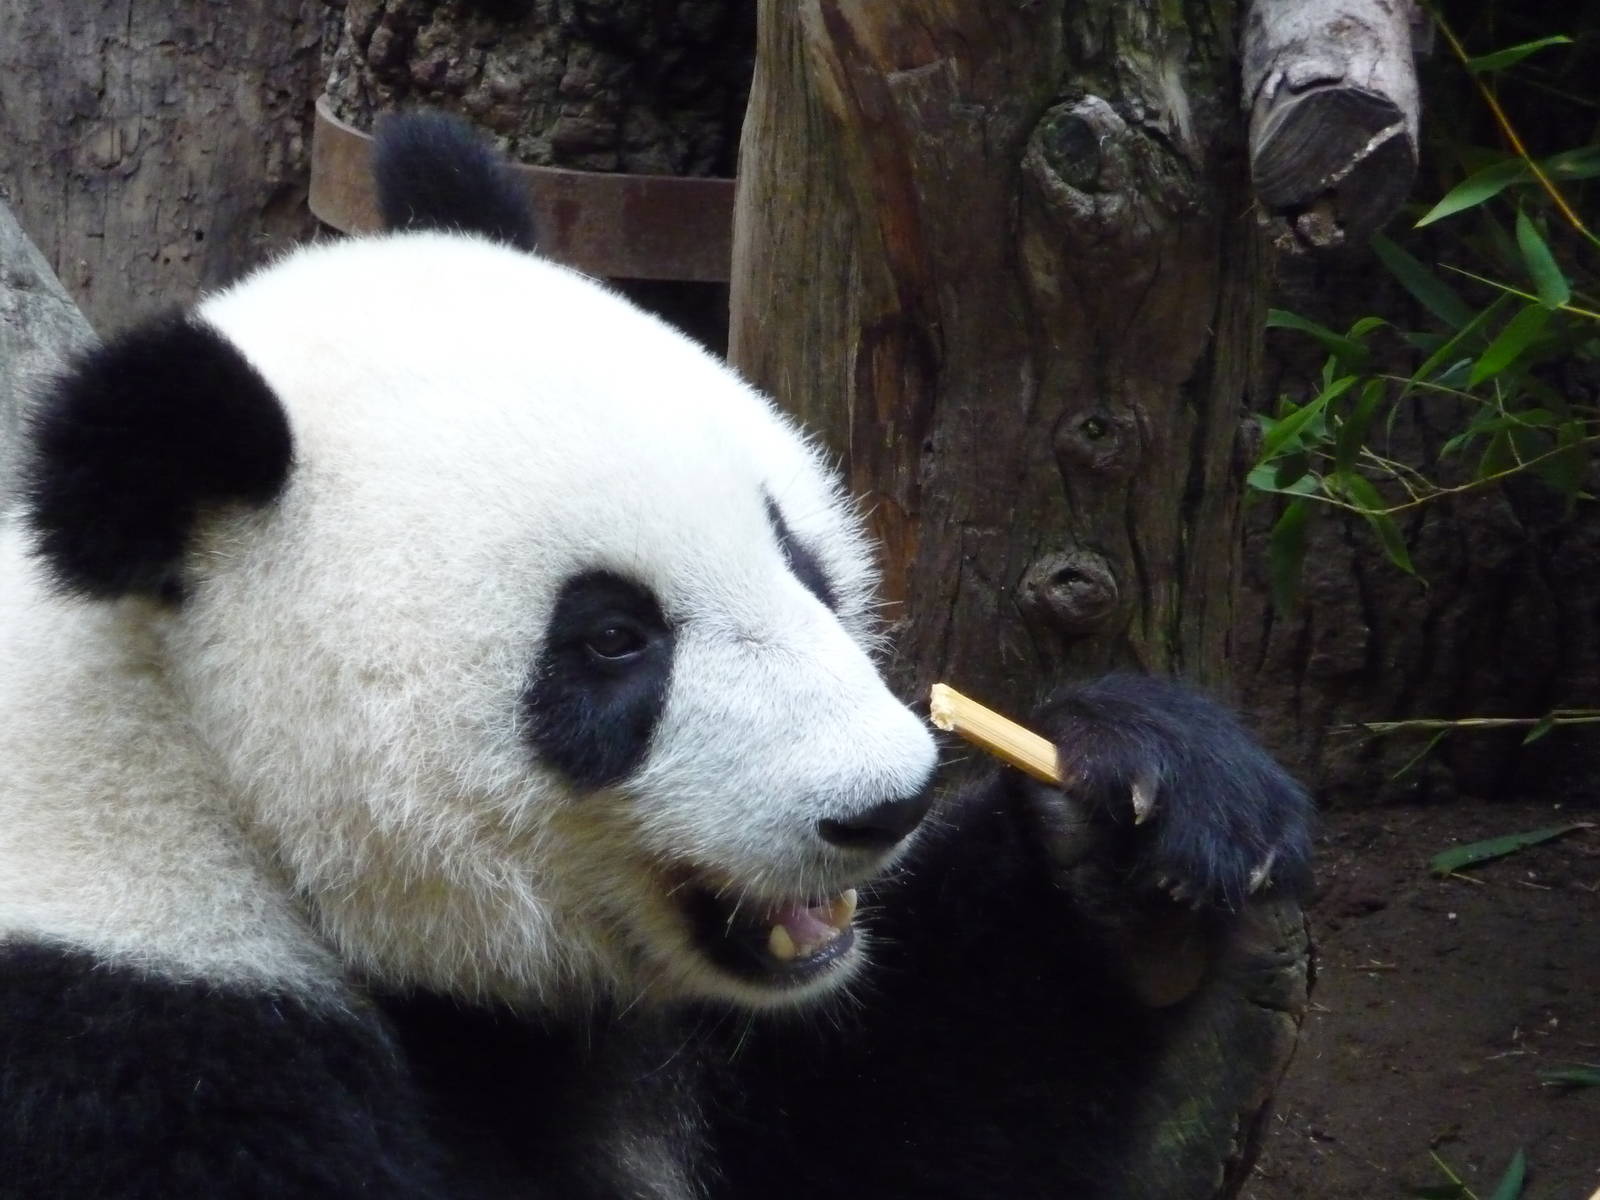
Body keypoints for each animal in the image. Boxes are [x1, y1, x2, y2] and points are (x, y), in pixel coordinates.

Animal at [0, 113, 1311, 1200]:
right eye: (613, 640)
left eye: (799, 557)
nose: (884, 805)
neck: (196, 764)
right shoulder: (138, 1029)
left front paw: (1135, 824)